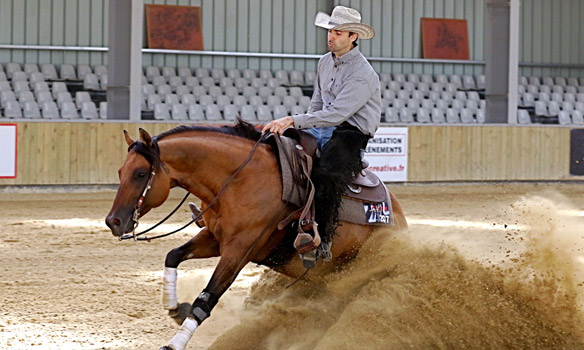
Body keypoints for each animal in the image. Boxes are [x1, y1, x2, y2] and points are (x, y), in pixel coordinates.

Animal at [104, 119, 406, 350]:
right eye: (119, 171)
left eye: (140, 173)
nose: (113, 221)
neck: (240, 180)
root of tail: (398, 217)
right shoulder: (215, 239)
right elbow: (173, 256)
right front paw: (175, 307)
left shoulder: (239, 250)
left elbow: (206, 300)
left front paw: (174, 343)